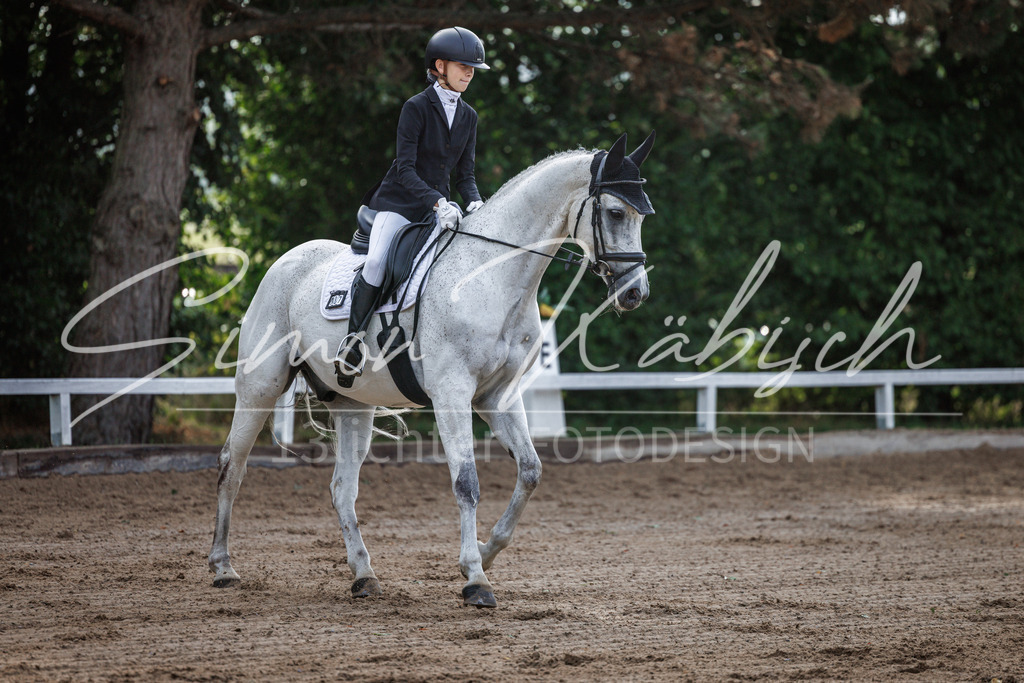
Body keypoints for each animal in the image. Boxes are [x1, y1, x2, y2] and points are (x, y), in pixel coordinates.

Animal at [208, 132, 656, 608]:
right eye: (614, 212)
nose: (635, 293)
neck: (491, 277)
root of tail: (285, 261)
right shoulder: (452, 393)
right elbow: (467, 482)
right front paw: (476, 578)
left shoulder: (498, 396)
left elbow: (531, 471)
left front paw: (485, 552)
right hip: (260, 387)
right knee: (232, 464)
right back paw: (222, 567)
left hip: (353, 404)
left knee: (342, 488)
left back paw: (364, 575)